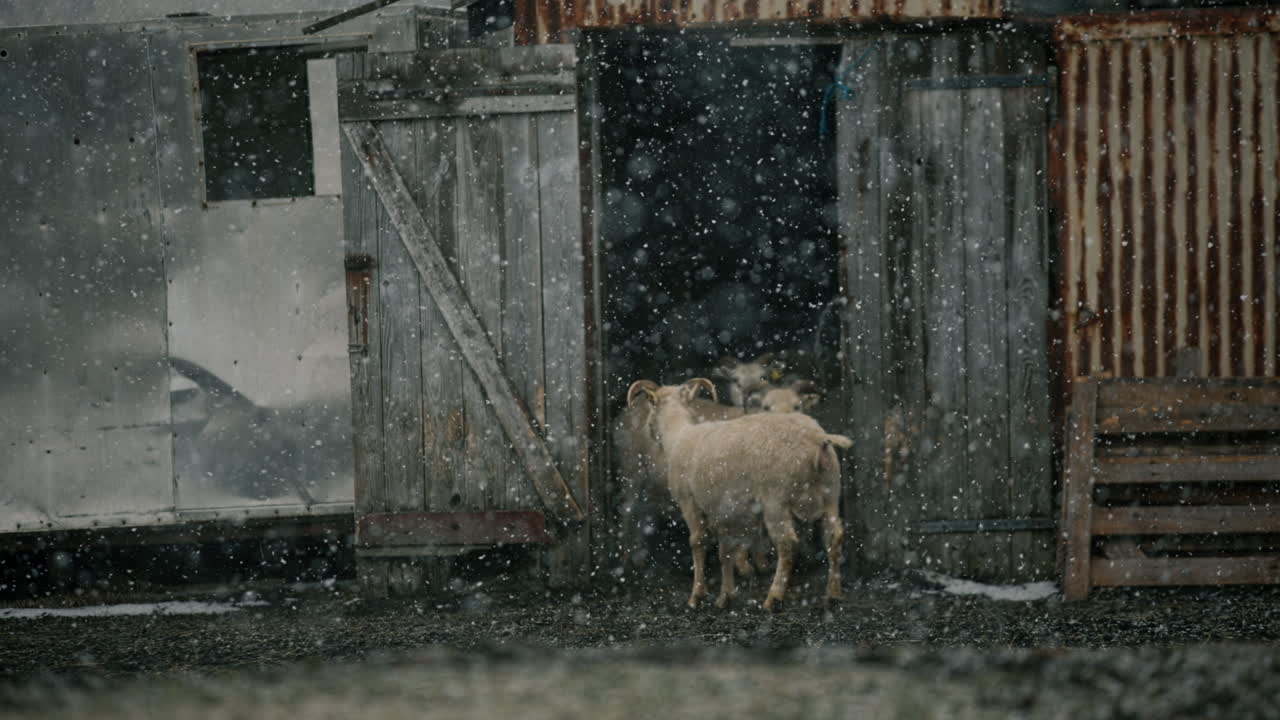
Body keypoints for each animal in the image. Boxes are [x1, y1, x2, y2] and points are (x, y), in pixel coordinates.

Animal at [629, 377, 850, 610]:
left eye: (651, 407)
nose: (647, 429)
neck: (678, 435)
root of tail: (817, 438)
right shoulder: (722, 512)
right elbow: (725, 551)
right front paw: (725, 596)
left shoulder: (689, 501)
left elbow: (697, 542)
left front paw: (697, 595)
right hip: (831, 493)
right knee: (834, 536)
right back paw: (833, 593)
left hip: (776, 500)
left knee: (788, 543)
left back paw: (774, 597)